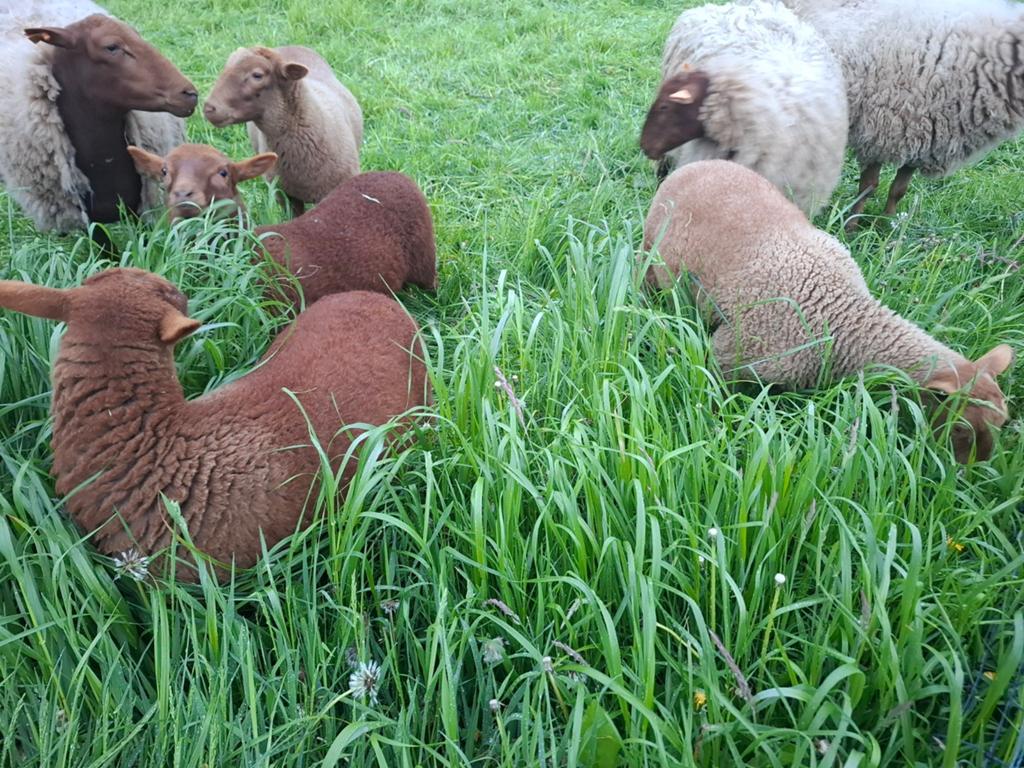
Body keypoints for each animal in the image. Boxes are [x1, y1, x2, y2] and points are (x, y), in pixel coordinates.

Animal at [643, 160, 1014, 463]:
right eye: (961, 427)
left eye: (1003, 422)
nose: (970, 471)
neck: (843, 317)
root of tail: (694, 163)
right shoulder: (730, 355)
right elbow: (713, 397)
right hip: (649, 253)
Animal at [780, 0, 1024, 224]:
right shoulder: (877, 129)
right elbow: (868, 186)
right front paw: (852, 225)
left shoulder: (921, 137)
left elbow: (899, 190)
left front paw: (886, 225)